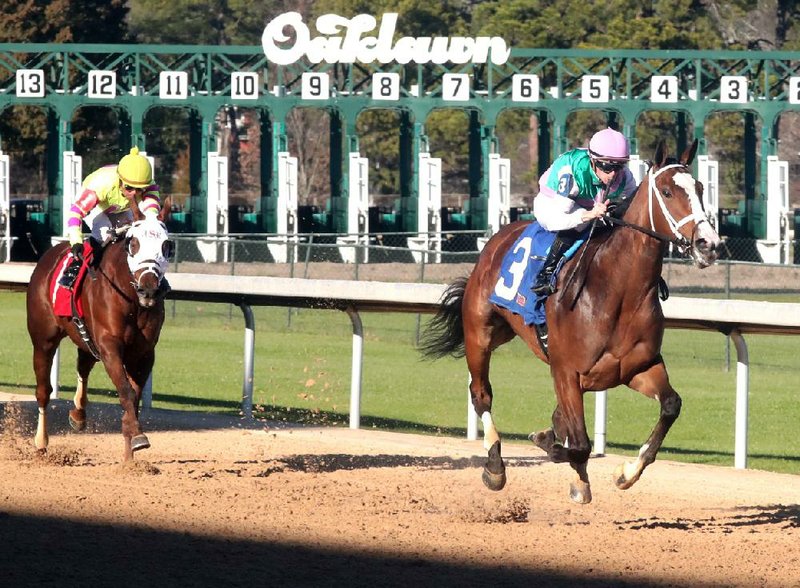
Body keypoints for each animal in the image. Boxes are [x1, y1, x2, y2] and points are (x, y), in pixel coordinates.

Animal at [26, 209, 172, 462]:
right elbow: (126, 391)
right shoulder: (110, 346)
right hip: (44, 340)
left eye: (165, 245)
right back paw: (41, 443)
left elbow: (133, 396)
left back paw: (78, 413)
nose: (149, 290)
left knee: (83, 366)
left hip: (86, 339)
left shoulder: (144, 353)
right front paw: (138, 437)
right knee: (43, 391)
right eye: (133, 243)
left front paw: (129, 452)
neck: (132, 299)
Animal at [422, 140, 720, 504]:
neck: (618, 291)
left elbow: (670, 406)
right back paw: (495, 466)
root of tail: (498, 238)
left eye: (701, 188)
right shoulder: (565, 371)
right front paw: (561, 458)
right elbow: (579, 445)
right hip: (480, 332)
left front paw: (626, 472)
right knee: (481, 394)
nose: (709, 244)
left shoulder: (637, 367)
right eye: (666, 191)